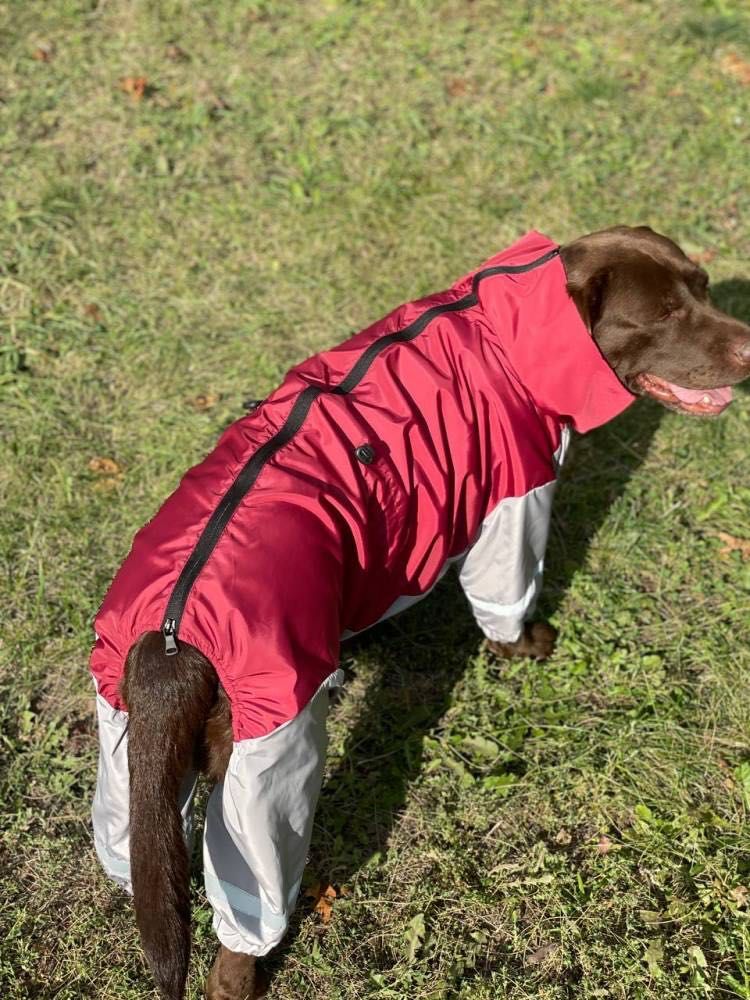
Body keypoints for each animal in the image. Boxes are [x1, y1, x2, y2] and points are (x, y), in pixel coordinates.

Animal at [89, 229, 750, 1000]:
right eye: (665, 314)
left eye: (703, 287)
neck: (507, 330)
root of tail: (171, 635)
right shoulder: (515, 503)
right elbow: (507, 596)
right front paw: (527, 645)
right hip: (266, 752)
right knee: (249, 891)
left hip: (127, 742)